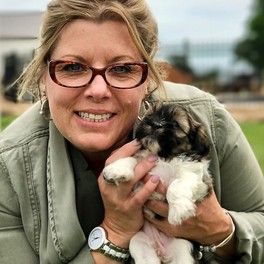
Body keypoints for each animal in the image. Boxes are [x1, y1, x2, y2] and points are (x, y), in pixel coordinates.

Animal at [102, 103, 211, 264]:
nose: (155, 124)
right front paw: (116, 169)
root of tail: (162, 251)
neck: (163, 157)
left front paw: (179, 211)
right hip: (138, 240)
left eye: (175, 124)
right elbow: (134, 159)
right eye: (150, 116)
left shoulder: (200, 181)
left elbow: (176, 185)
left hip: (183, 249)